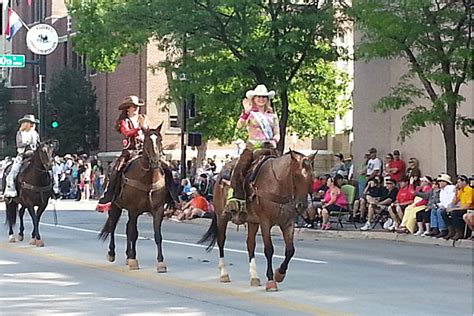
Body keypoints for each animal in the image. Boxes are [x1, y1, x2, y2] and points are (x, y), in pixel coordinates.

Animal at [98, 123, 170, 272]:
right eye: (148, 140)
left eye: (159, 140)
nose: (155, 161)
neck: (148, 179)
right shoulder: (133, 210)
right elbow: (133, 233)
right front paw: (133, 260)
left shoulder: (158, 210)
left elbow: (157, 235)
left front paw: (160, 262)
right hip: (115, 206)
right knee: (113, 226)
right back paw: (112, 253)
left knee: (126, 228)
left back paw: (128, 255)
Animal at [200, 150, 314, 292]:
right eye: (296, 175)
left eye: (311, 176)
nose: (302, 205)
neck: (277, 186)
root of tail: (220, 175)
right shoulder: (265, 222)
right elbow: (269, 250)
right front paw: (271, 281)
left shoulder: (288, 223)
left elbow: (290, 251)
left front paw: (279, 274)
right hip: (222, 217)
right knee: (221, 241)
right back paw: (224, 274)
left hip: (252, 222)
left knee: (250, 244)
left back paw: (254, 277)